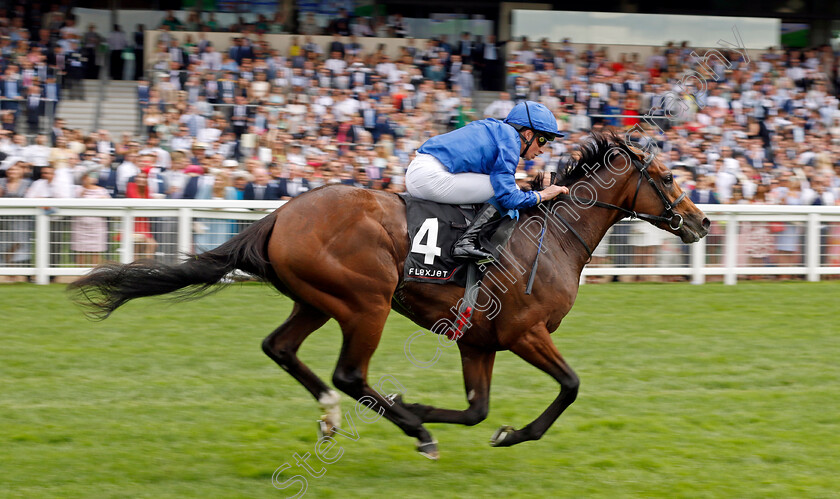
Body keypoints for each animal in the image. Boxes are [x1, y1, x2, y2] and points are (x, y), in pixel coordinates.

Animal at [70, 132, 708, 460]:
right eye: (667, 178)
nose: (701, 222)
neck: (550, 235)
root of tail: (279, 215)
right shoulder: (523, 331)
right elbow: (570, 386)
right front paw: (494, 430)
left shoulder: (478, 341)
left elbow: (477, 410)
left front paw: (441, 412)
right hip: (366, 303)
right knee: (350, 373)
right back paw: (411, 429)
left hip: (317, 299)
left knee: (280, 347)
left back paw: (336, 415)